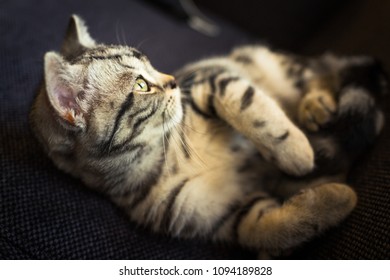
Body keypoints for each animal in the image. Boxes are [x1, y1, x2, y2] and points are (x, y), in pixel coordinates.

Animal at [30, 14, 386, 256]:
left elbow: (249, 106)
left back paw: (316, 104)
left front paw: (296, 153)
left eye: (151, 65)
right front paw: (337, 198)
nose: (173, 80)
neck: (162, 156)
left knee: (328, 71)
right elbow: (276, 226)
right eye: (141, 85)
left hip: (277, 64)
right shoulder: (228, 213)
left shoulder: (212, 79)